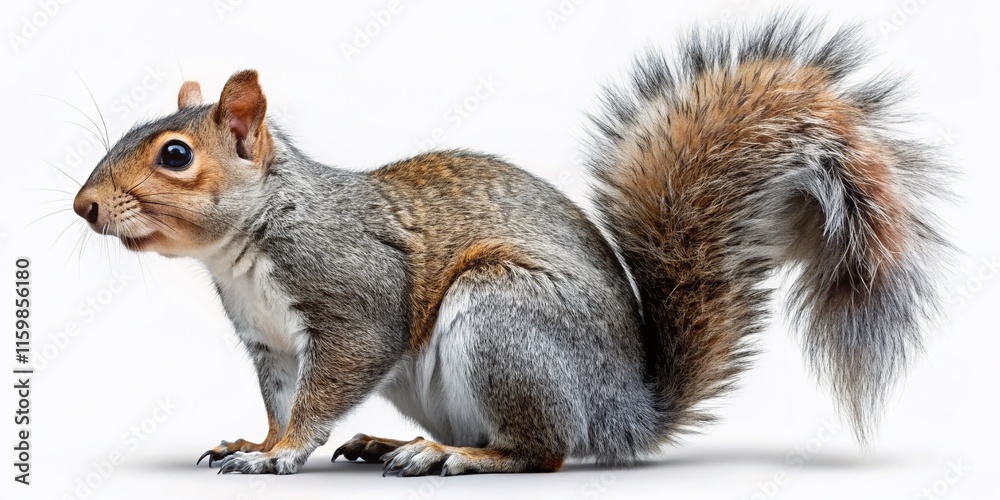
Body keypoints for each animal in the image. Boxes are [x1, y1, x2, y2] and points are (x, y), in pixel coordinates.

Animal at [71, 16, 948, 476]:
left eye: (175, 155)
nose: (83, 206)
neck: (247, 243)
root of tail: (623, 412)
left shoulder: (351, 296)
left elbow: (329, 384)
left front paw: (277, 455)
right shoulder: (270, 344)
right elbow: (283, 397)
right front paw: (255, 441)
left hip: (505, 321)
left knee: (544, 452)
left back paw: (459, 459)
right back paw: (400, 442)